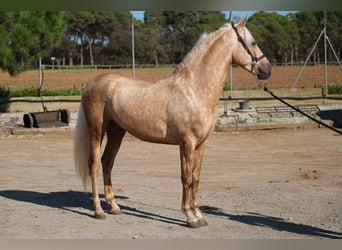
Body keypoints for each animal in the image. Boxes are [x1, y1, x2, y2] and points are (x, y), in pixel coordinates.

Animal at [74, 19, 270, 228]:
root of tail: (89, 84)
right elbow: (186, 178)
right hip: (97, 131)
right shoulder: (187, 143)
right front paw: (190, 217)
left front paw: (199, 214)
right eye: (253, 42)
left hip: (116, 131)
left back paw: (114, 207)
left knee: (107, 162)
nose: (267, 70)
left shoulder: (201, 144)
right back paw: (99, 211)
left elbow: (196, 178)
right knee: (94, 164)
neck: (194, 88)